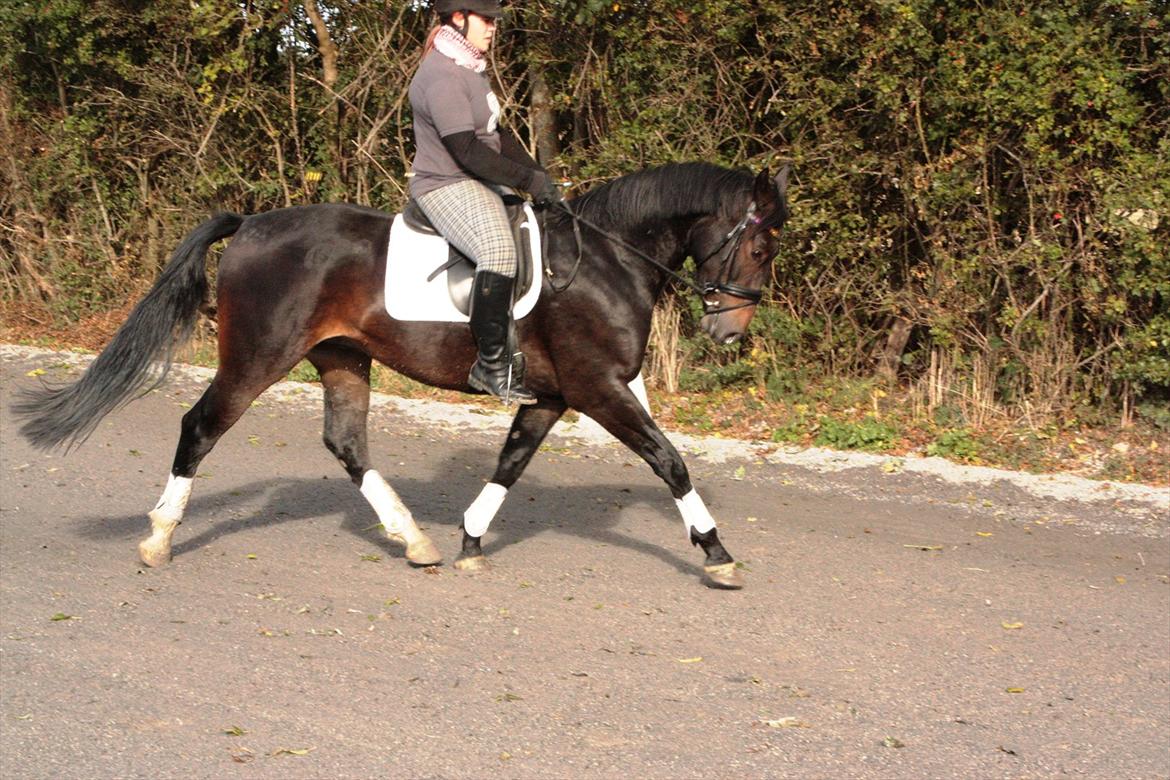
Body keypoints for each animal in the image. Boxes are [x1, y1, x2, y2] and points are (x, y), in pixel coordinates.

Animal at [16, 163, 786, 591]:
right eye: (758, 245)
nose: (730, 331)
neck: (604, 260)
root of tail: (253, 224)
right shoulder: (598, 389)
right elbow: (669, 460)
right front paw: (717, 554)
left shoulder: (553, 395)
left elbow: (510, 463)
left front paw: (470, 539)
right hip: (258, 357)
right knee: (200, 428)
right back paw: (158, 539)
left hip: (341, 358)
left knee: (346, 443)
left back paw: (413, 539)